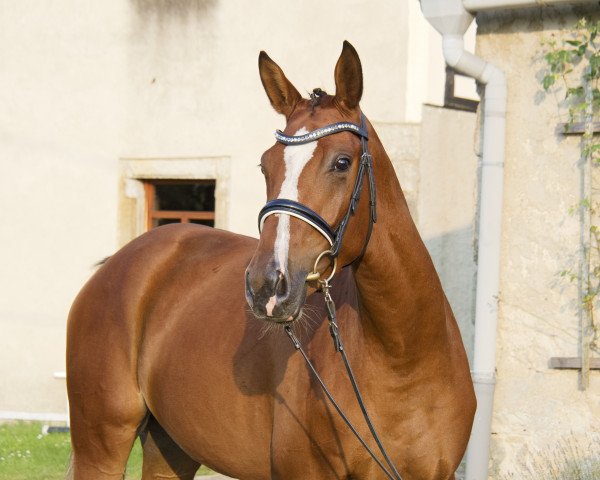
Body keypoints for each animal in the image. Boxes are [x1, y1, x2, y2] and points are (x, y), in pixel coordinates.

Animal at [67, 41, 474, 480]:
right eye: (266, 164)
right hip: (101, 444)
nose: (266, 286)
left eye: (342, 162)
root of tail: (120, 262)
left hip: (171, 447)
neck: (404, 359)